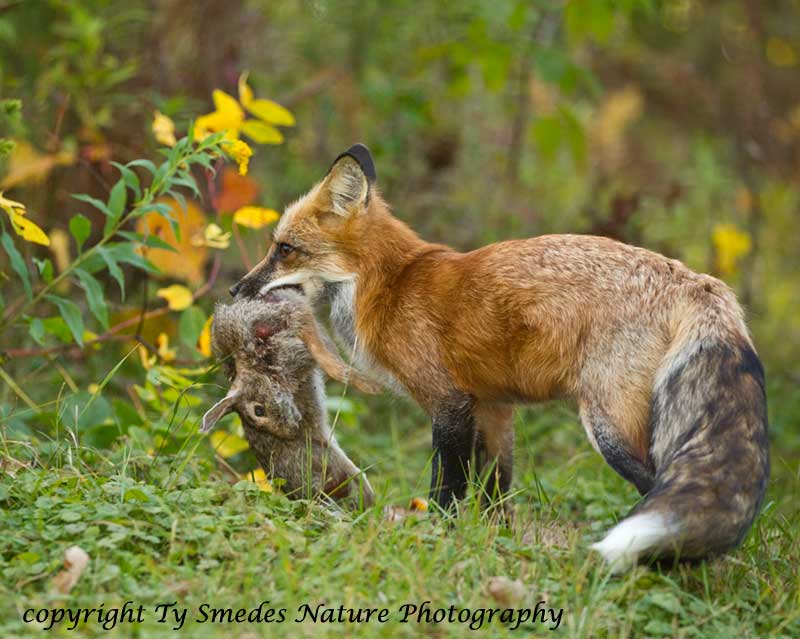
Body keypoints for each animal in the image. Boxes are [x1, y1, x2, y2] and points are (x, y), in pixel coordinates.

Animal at [229, 143, 770, 571]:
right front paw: (495, 546)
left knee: (658, 490)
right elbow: (494, 494)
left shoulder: (448, 403)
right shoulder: (492, 407)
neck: (389, 287)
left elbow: (446, 489)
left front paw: (435, 539)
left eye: (285, 249)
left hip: (609, 428)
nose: (235, 290)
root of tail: (697, 280)